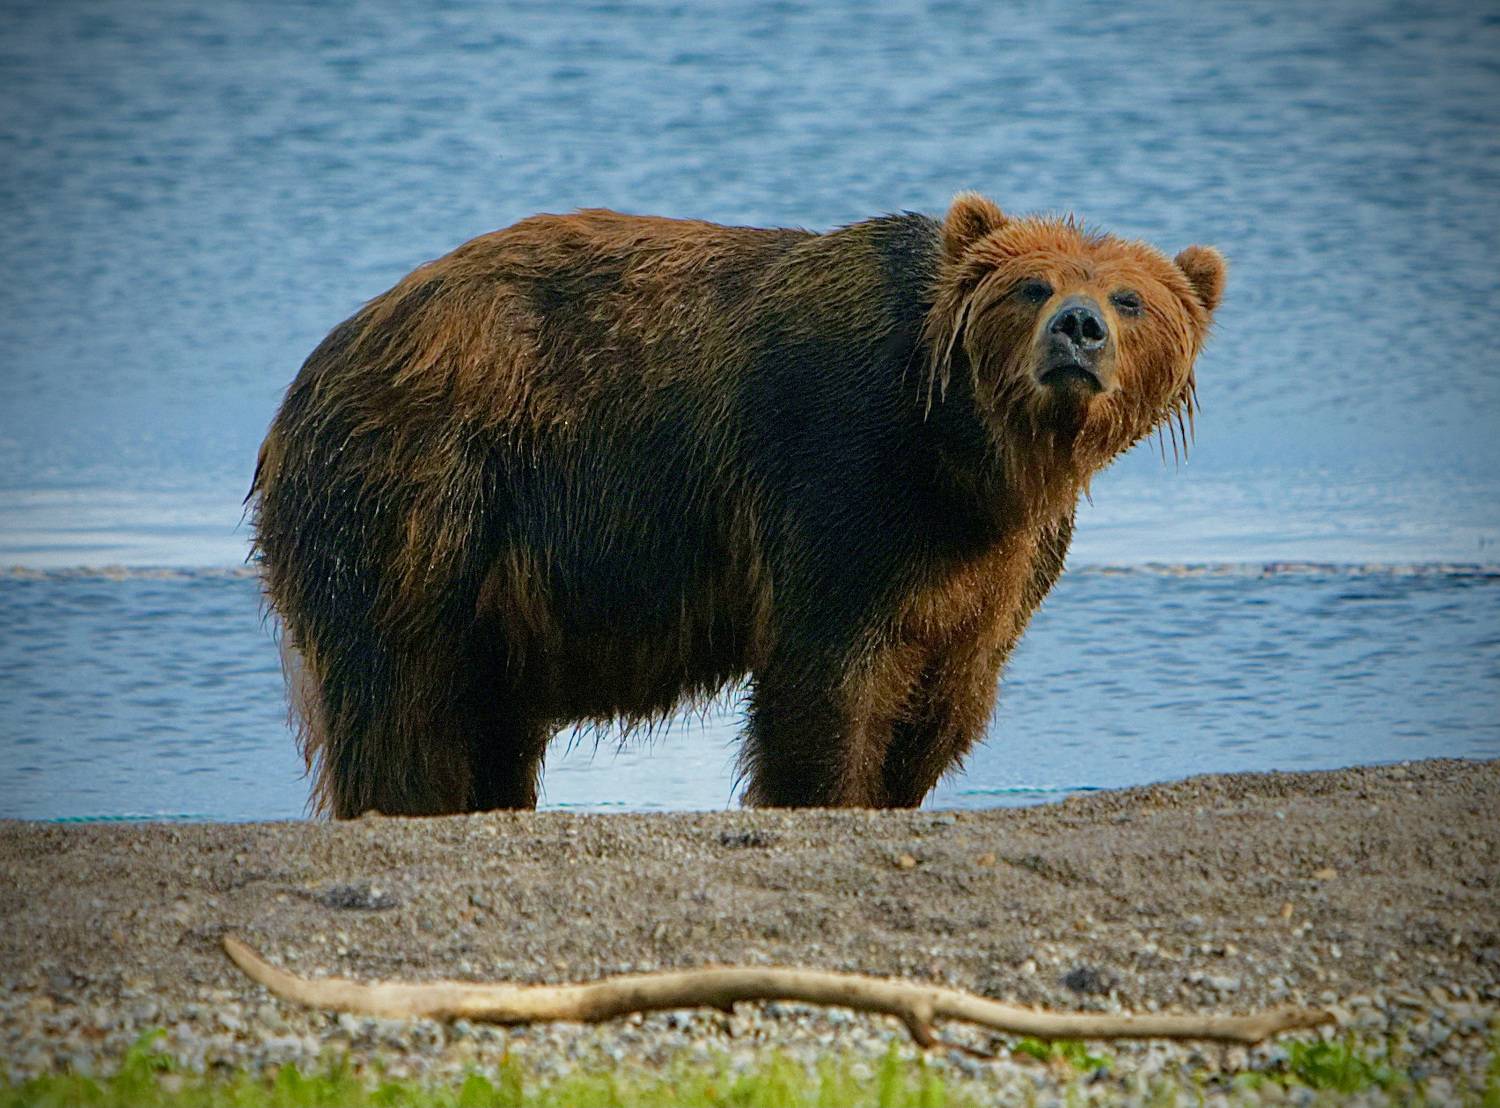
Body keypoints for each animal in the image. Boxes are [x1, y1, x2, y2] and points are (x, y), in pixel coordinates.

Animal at [250, 194, 1225, 817]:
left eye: (1130, 298)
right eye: (1031, 286)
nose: (1078, 329)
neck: (971, 457)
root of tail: (318, 364)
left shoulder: (1003, 559)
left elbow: (948, 688)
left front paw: (894, 786)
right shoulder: (840, 466)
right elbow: (828, 670)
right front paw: (823, 791)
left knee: (486, 710)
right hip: (425, 483)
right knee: (403, 686)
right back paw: (405, 801)